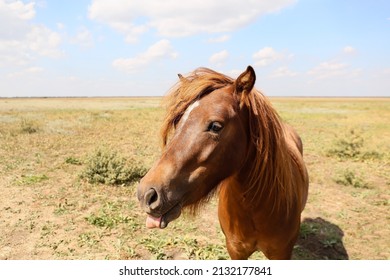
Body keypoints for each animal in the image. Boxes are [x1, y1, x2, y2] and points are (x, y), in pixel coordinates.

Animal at [136, 66, 308, 260]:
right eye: (178, 121)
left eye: (216, 126)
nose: (146, 194)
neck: (256, 209)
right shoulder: (236, 251)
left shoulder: (281, 254)